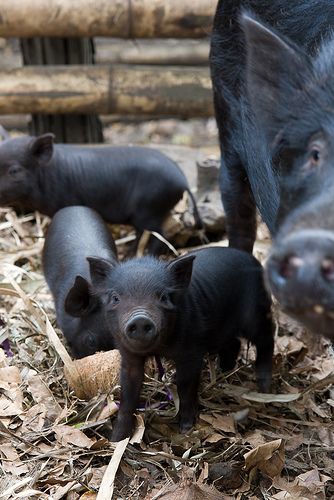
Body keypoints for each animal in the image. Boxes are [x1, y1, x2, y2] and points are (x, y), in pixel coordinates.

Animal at [82, 248, 272, 440]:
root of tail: (252, 260)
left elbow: (185, 387)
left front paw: (186, 429)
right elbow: (128, 392)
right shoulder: (128, 355)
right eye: (115, 297)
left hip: (256, 314)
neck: (159, 348)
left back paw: (264, 387)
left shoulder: (191, 352)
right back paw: (223, 371)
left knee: (266, 339)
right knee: (234, 343)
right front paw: (116, 439)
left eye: (163, 297)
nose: (140, 319)